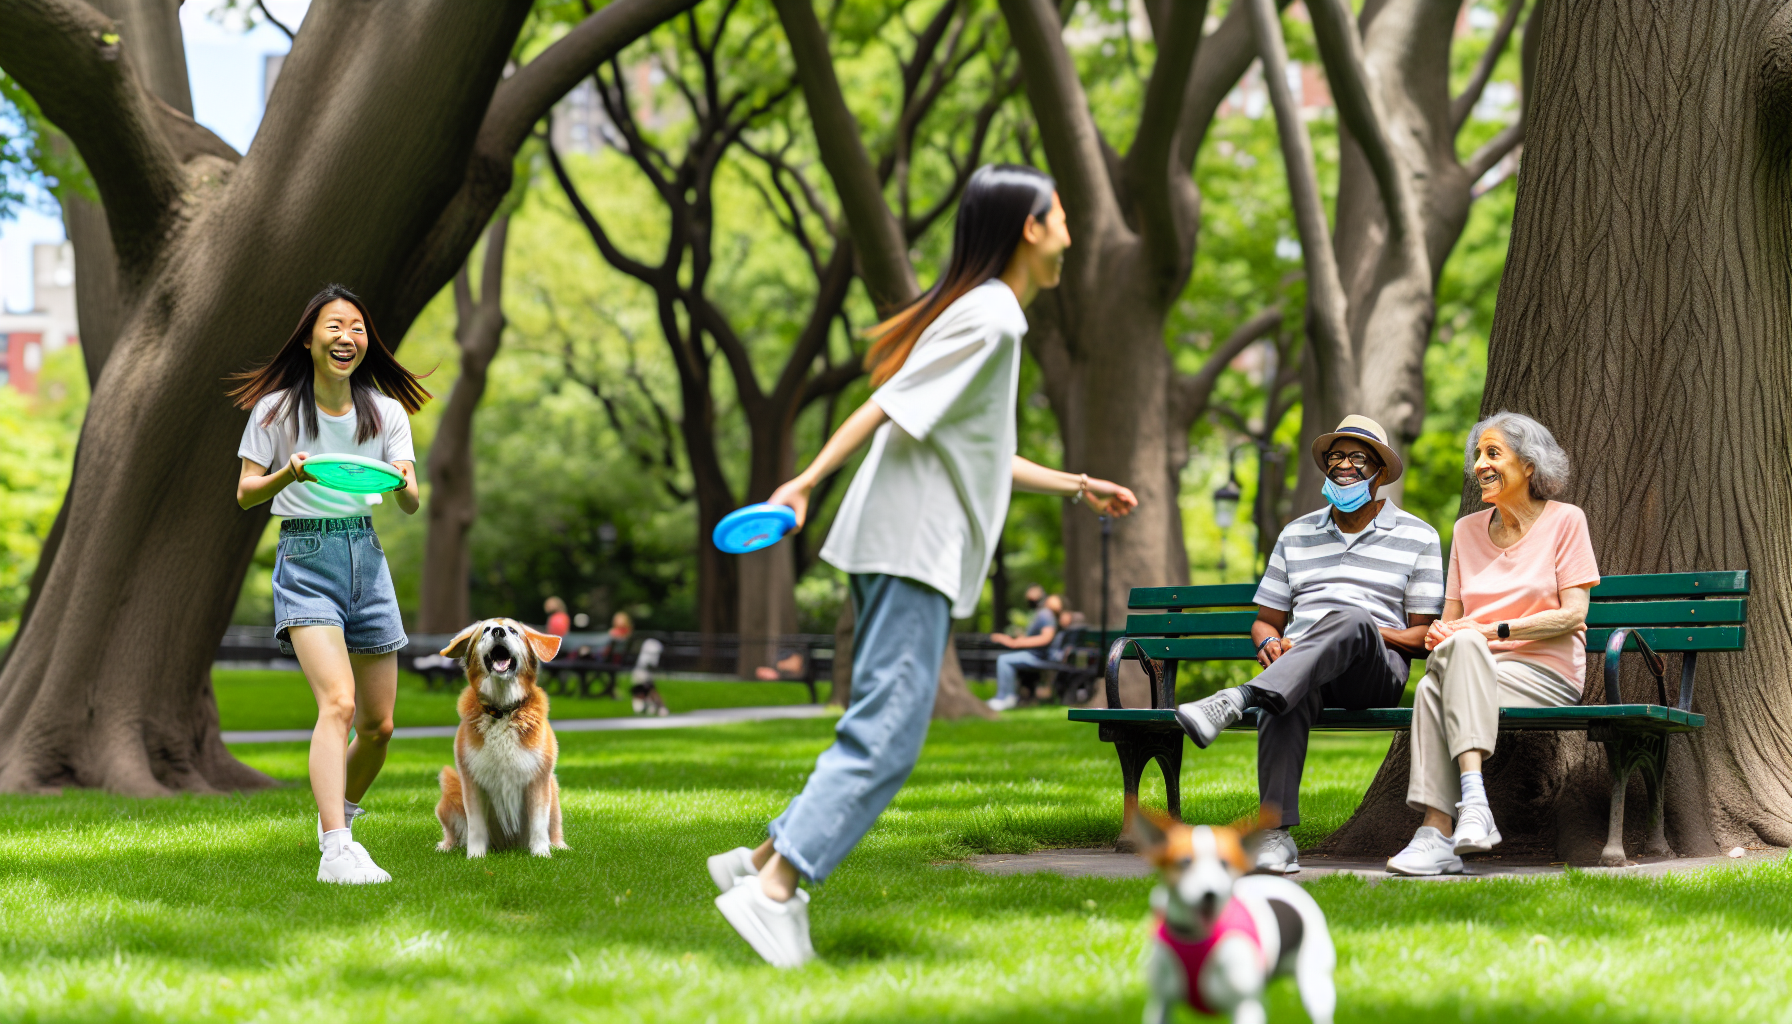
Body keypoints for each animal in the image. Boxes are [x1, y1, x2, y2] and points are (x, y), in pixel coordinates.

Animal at [433, 620, 566, 860]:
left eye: (513, 630)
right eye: (486, 629)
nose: (498, 631)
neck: (503, 710)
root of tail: (507, 846)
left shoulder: (539, 779)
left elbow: (539, 825)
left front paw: (541, 854)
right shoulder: (471, 780)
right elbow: (475, 826)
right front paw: (475, 857)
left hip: (553, 788)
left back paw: (559, 846)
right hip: (450, 783)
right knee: (453, 834)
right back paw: (446, 847)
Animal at [1132, 810, 1333, 1024]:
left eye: (1225, 863)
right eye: (1184, 862)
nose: (1209, 894)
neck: (1198, 937)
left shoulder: (1244, 1005)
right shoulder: (1160, 1002)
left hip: (1315, 984)